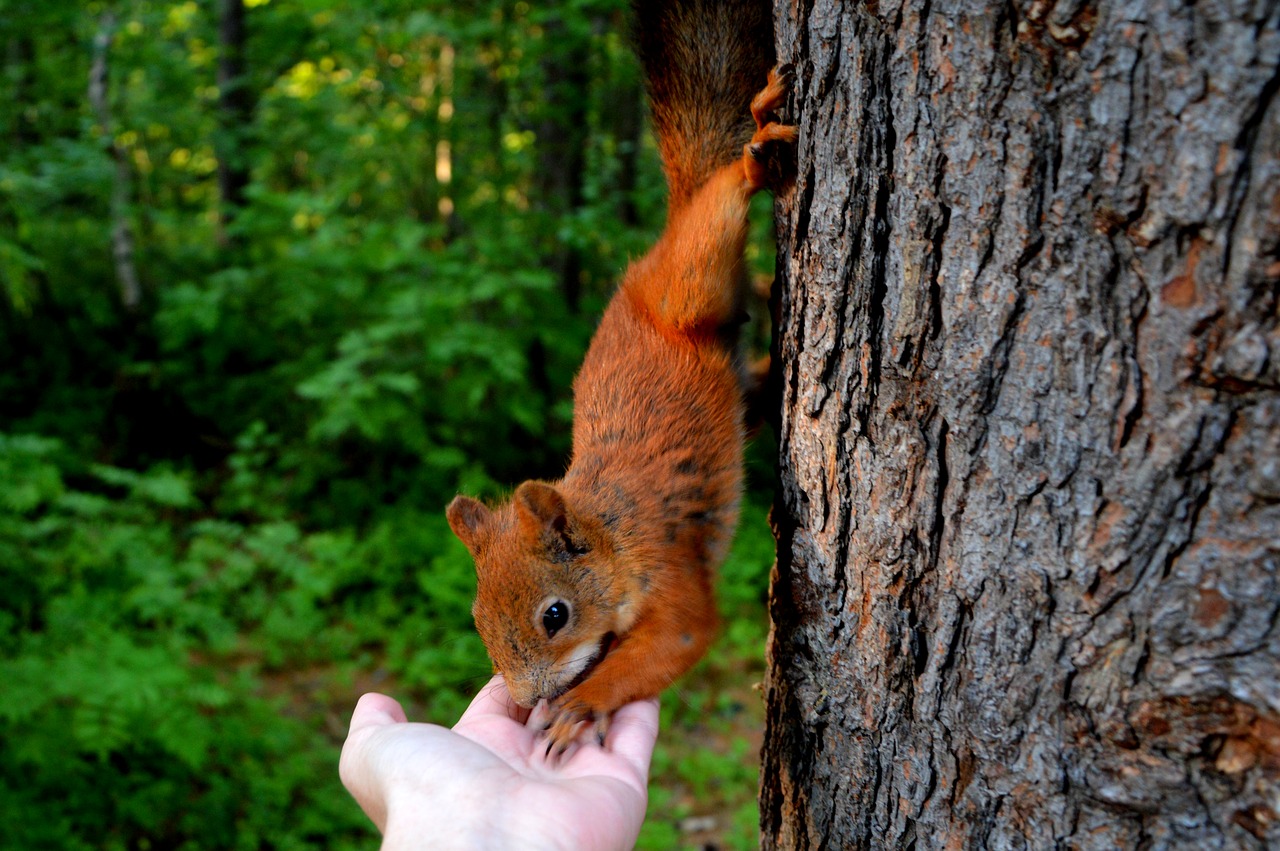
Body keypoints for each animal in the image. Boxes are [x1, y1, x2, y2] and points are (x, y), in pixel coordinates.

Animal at [445, 0, 793, 752]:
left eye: (555, 614)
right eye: (477, 619)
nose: (527, 699)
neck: (607, 531)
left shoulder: (665, 566)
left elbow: (678, 636)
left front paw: (580, 705)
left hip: (687, 283)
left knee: (716, 212)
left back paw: (754, 146)